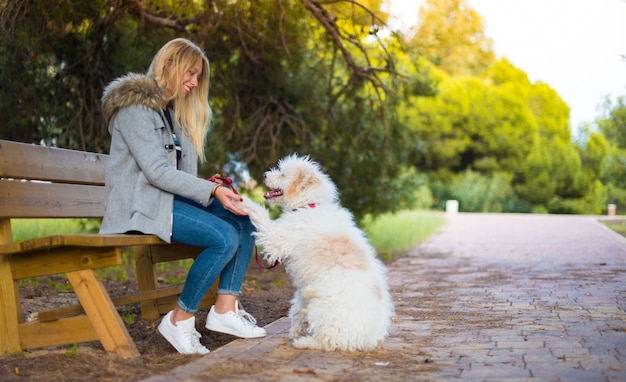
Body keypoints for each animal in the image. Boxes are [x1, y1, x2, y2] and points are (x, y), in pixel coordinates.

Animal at [236, 154, 392, 350]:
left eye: (282, 174)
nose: (264, 175)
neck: (308, 205)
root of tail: (366, 339)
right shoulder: (303, 291)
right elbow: (296, 310)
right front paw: (295, 330)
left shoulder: (276, 239)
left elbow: (260, 214)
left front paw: (241, 201)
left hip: (322, 307)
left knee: (328, 341)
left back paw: (305, 342)